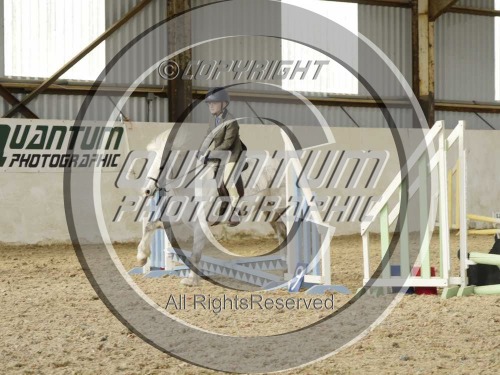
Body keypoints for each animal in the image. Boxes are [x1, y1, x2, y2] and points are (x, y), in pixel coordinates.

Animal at [135, 129, 288, 288]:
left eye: (162, 166)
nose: (146, 191)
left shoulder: (200, 226)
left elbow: (195, 254)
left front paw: (191, 281)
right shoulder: (180, 218)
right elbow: (150, 226)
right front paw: (141, 257)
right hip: (270, 211)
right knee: (282, 232)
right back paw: (285, 269)